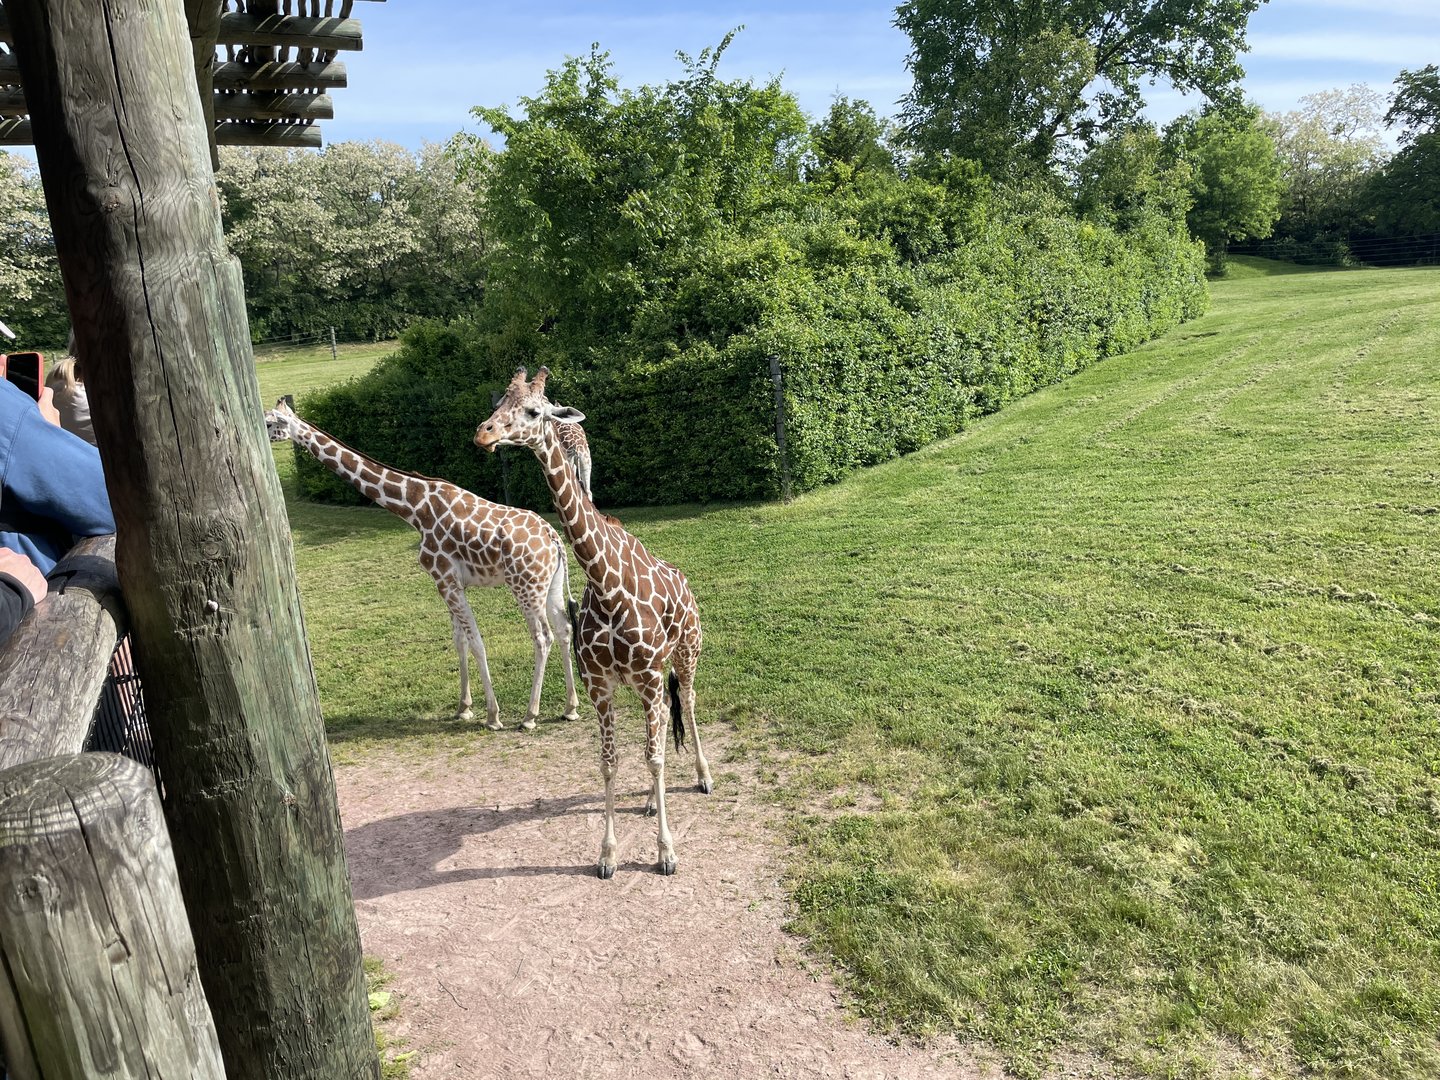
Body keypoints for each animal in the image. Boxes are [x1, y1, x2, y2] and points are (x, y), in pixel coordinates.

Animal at [264, 399, 581, 730]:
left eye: (271, 421)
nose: (262, 432)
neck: (414, 508)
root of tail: (554, 539)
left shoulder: (444, 578)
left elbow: (476, 641)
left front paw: (493, 716)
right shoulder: (451, 583)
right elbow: (459, 640)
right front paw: (464, 707)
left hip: (525, 586)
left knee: (542, 637)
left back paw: (530, 715)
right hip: (549, 585)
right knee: (563, 628)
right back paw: (571, 707)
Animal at [475, 368, 712, 878]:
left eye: (534, 411)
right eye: (499, 403)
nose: (484, 433)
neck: (606, 584)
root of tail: (685, 584)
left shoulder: (649, 677)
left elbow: (655, 759)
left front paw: (666, 853)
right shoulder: (601, 684)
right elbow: (610, 762)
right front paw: (607, 855)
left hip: (686, 654)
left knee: (687, 703)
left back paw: (704, 777)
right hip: (647, 680)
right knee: (661, 723)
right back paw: (650, 802)